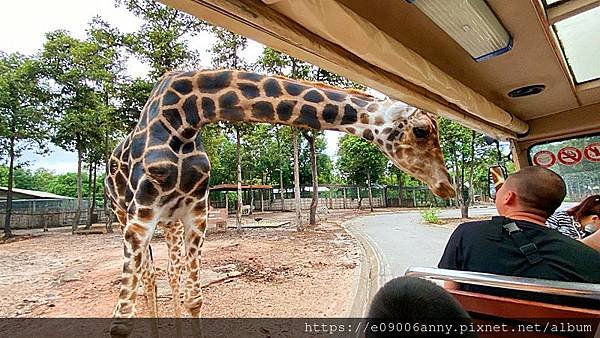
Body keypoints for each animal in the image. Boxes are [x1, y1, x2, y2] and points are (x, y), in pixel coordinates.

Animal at [106, 68, 454, 336]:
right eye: (421, 130)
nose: (447, 186)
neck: (185, 120)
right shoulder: (142, 213)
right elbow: (121, 322)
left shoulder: (195, 212)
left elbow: (194, 298)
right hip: (123, 213)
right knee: (150, 277)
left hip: (171, 222)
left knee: (170, 273)